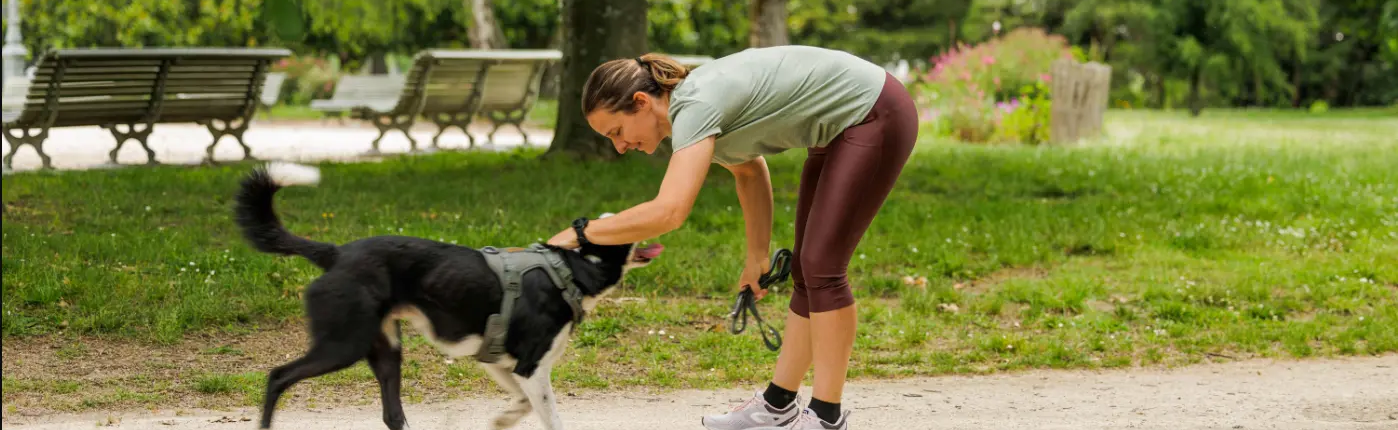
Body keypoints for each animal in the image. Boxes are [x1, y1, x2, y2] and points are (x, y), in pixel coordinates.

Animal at [233, 161, 659, 430]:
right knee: (277, 377)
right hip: (344, 344)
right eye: (623, 224)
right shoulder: (531, 367)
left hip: (386, 350)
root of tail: (336, 253)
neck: (570, 268)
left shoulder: (502, 364)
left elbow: (521, 403)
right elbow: (551, 417)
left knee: (392, 415)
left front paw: (503, 419)